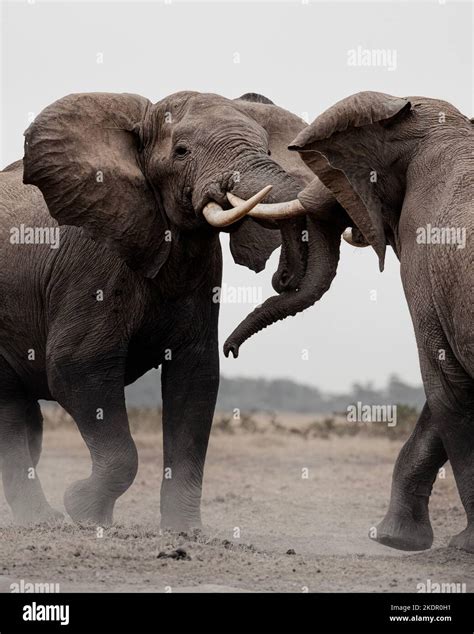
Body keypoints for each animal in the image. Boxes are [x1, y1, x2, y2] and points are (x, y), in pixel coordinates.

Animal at [1, 90, 318, 528]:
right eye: (182, 151)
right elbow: (77, 366)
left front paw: (185, 533)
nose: (282, 278)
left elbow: (196, 378)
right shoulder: (92, 262)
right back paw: (44, 521)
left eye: (268, 150)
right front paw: (85, 513)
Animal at [223, 91, 474, 552]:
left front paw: (457, 545)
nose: (229, 350)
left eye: (330, 172)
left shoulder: (423, 257)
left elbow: (445, 388)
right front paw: (396, 540)